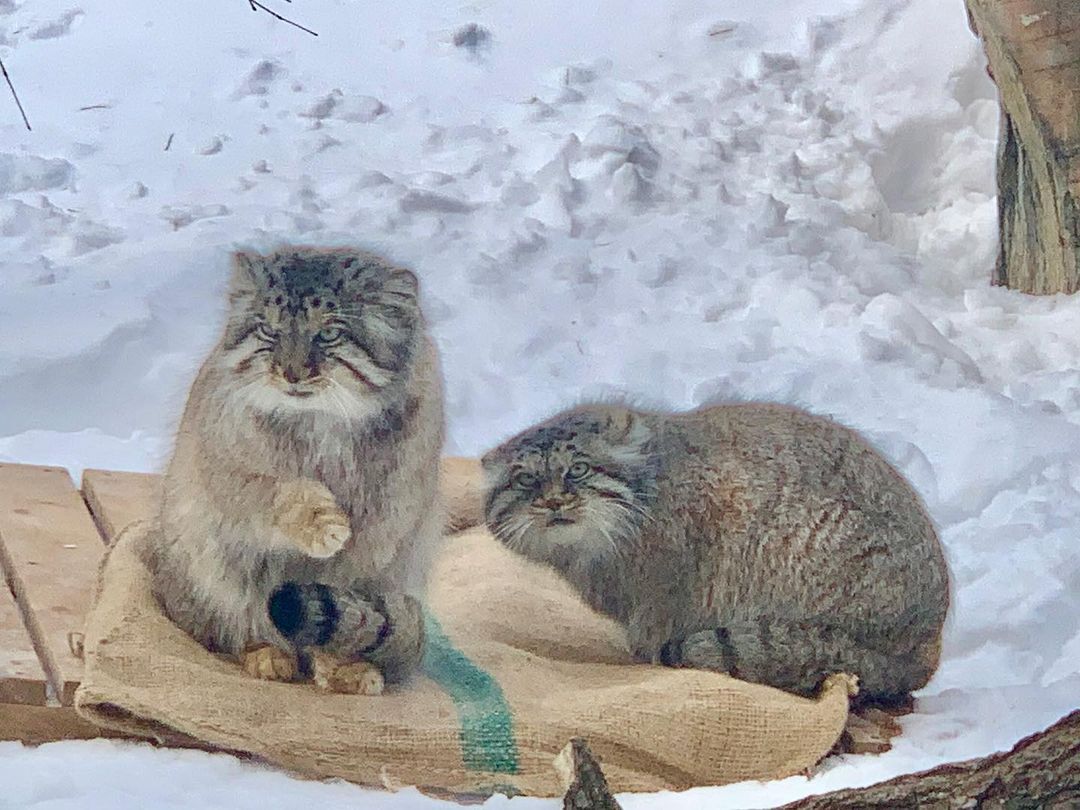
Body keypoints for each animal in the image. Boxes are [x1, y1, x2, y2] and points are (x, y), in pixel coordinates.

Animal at [140, 247, 442, 699]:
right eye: (269, 330)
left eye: (329, 333)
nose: (290, 372)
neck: (324, 422)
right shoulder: (234, 477)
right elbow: (287, 492)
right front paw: (322, 524)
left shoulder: (384, 530)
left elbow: (347, 603)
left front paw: (342, 666)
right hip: (208, 566)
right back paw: (267, 654)